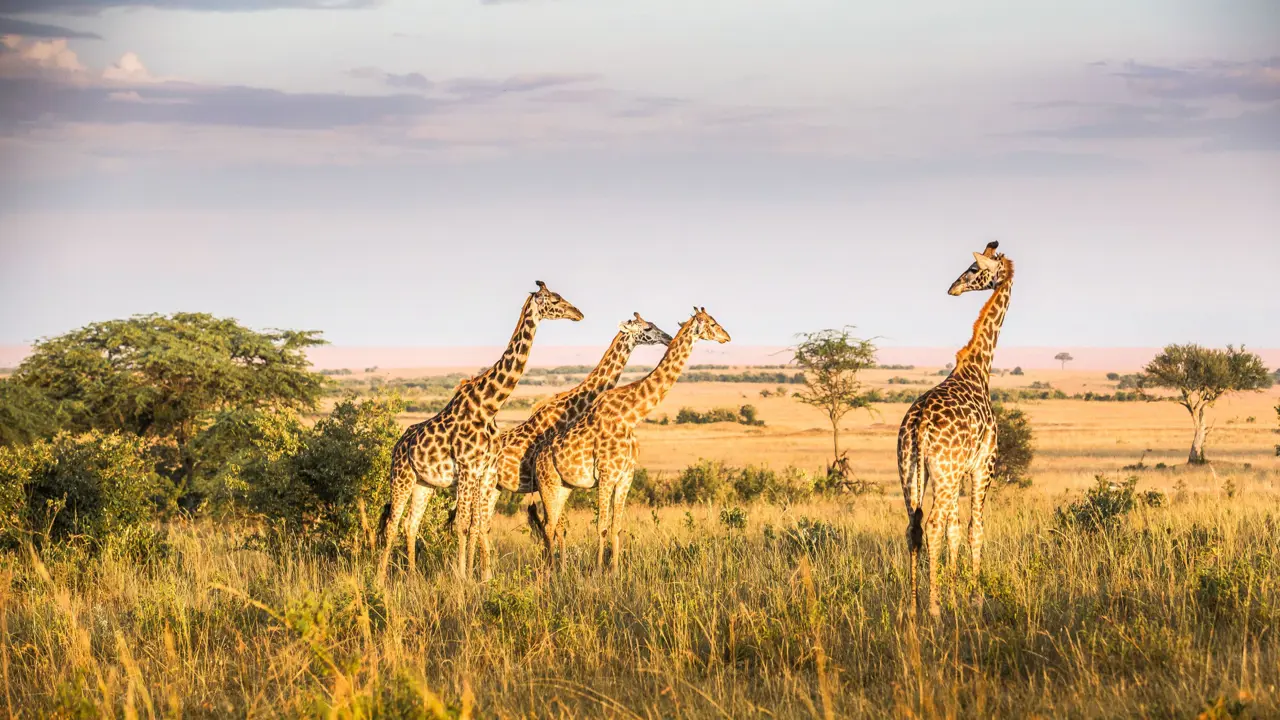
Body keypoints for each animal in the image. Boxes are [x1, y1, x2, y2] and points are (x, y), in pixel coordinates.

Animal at [377, 281, 583, 581]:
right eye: (554, 299)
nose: (578, 313)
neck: (490, 405)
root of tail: (397, 445)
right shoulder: (466, 469)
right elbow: (463, 523)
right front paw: (462, 577)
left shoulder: (485, 472)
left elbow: (477, 523)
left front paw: (479, 577)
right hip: (401, 476)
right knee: (393, 522)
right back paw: (379, 580)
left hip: (424, 483)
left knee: (410, 524)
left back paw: (412, 577)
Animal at [465, 313, 673, 581]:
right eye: (647, 328)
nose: (668, 338)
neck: (574, 408)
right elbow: (554, 527)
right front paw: (555, 570)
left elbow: (559, 527)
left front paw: (560, 569)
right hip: (483, 486)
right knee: (474, 524)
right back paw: (477, 574)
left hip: (496, 489)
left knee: (481, 525)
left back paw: (482, 572)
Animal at [530, 307, 731, 571]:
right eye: (711, 323)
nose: (727, 336)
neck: (630, 416)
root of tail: (537, 458)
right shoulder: (606, 476)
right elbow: (602, 526)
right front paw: (597, 571)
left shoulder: (626, 476)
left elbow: (616, 527)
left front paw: (615, 571)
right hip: (548, 485)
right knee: (548, 526)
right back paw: (550, 572)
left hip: (564, 487)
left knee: (552, 526)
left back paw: (558, 570)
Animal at [897, 240, 1014, 618]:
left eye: (974, 269)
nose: (953, 287)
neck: (979, 367)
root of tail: (919, 423)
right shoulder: (983, 464)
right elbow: (974, 528)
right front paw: (973, 597)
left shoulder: (959, 470)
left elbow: (955, 530)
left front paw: (953, 595)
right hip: (945, 473)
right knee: (932, 525)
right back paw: (933, 609)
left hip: (911, 471)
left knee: (914, 527)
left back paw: (915, 606)